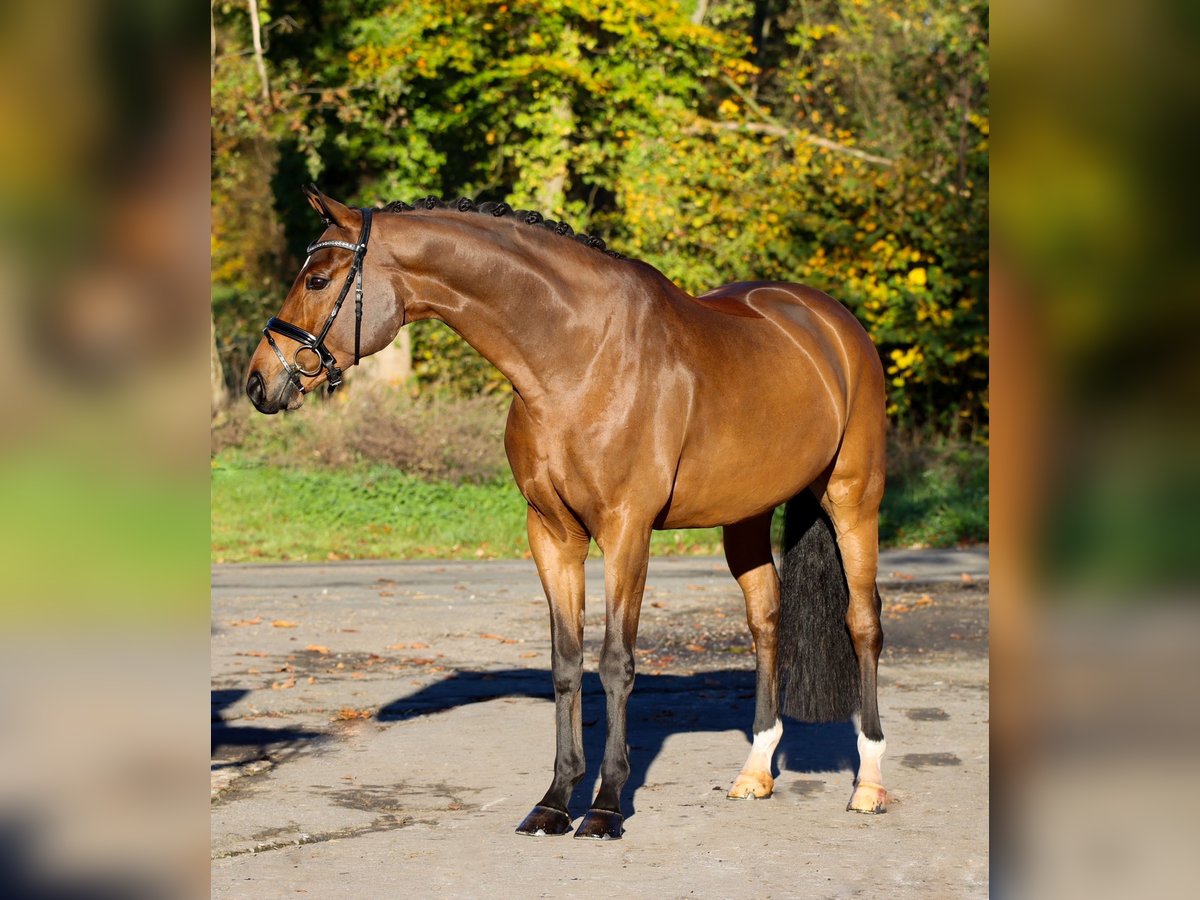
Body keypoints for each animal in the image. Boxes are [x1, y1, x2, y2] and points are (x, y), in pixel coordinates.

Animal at [243, 187, 892, 844]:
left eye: (318, 279)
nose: (259, 382)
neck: (577, 358)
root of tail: (833, 324)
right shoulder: (552, 535)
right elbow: (565, 662)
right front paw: (554, 802)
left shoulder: (626, 531)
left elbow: (615, 663)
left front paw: (605, 807)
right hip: (746, 519)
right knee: (765, 620)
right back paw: (755, 772)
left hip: (853, 499)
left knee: (863, 622)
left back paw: (868, 783)